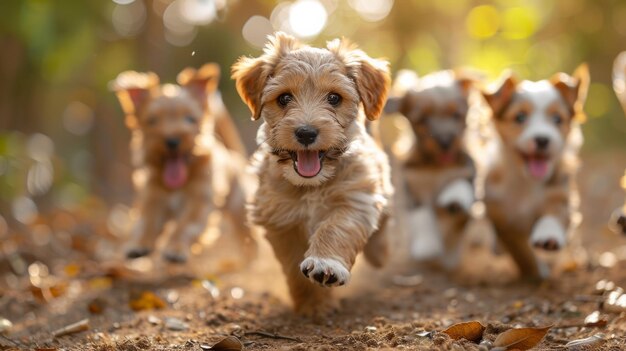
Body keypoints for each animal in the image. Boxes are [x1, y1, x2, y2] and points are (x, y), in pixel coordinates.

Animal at [111, 63, 254, 264]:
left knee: (247, 235)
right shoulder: (153, 200)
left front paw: (175, 249)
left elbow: (184, 227)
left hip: (239, 208)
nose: (172, 141)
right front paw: (139, 245)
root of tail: (234, 156)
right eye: (152, 121)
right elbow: (147, 223)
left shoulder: (198, 204)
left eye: (190, 119)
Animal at [232, 33, 392, 318]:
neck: (312, 186)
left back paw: (379, 253)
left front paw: (325, 264)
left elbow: (336, 229)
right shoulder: (281, 220)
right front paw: (314, 304)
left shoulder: (355, 199)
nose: (306, 133)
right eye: (284, 98)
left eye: (334, 98)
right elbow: (294, 265)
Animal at [480, 65, 588, 280]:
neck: (526, 181)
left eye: (557, 119)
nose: (542, 139)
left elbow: (554, 215)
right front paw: (535, 270)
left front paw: (549, 236)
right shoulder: (501, 217)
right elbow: (519, 249)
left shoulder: (559, 194)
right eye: (520, 117)